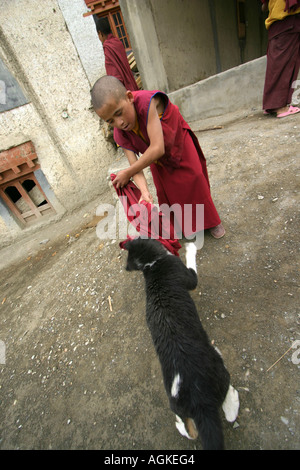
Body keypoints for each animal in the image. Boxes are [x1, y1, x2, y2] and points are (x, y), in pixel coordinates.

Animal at [124, 239, 239, 452]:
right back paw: (233, 399)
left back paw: (179, 424)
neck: (151, 264)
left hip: (176, 404)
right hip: (218, 366)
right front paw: (191, 248)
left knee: (190, 430)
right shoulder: (189, 278)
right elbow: (191, 262)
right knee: (228, 410)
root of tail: (199, 401)